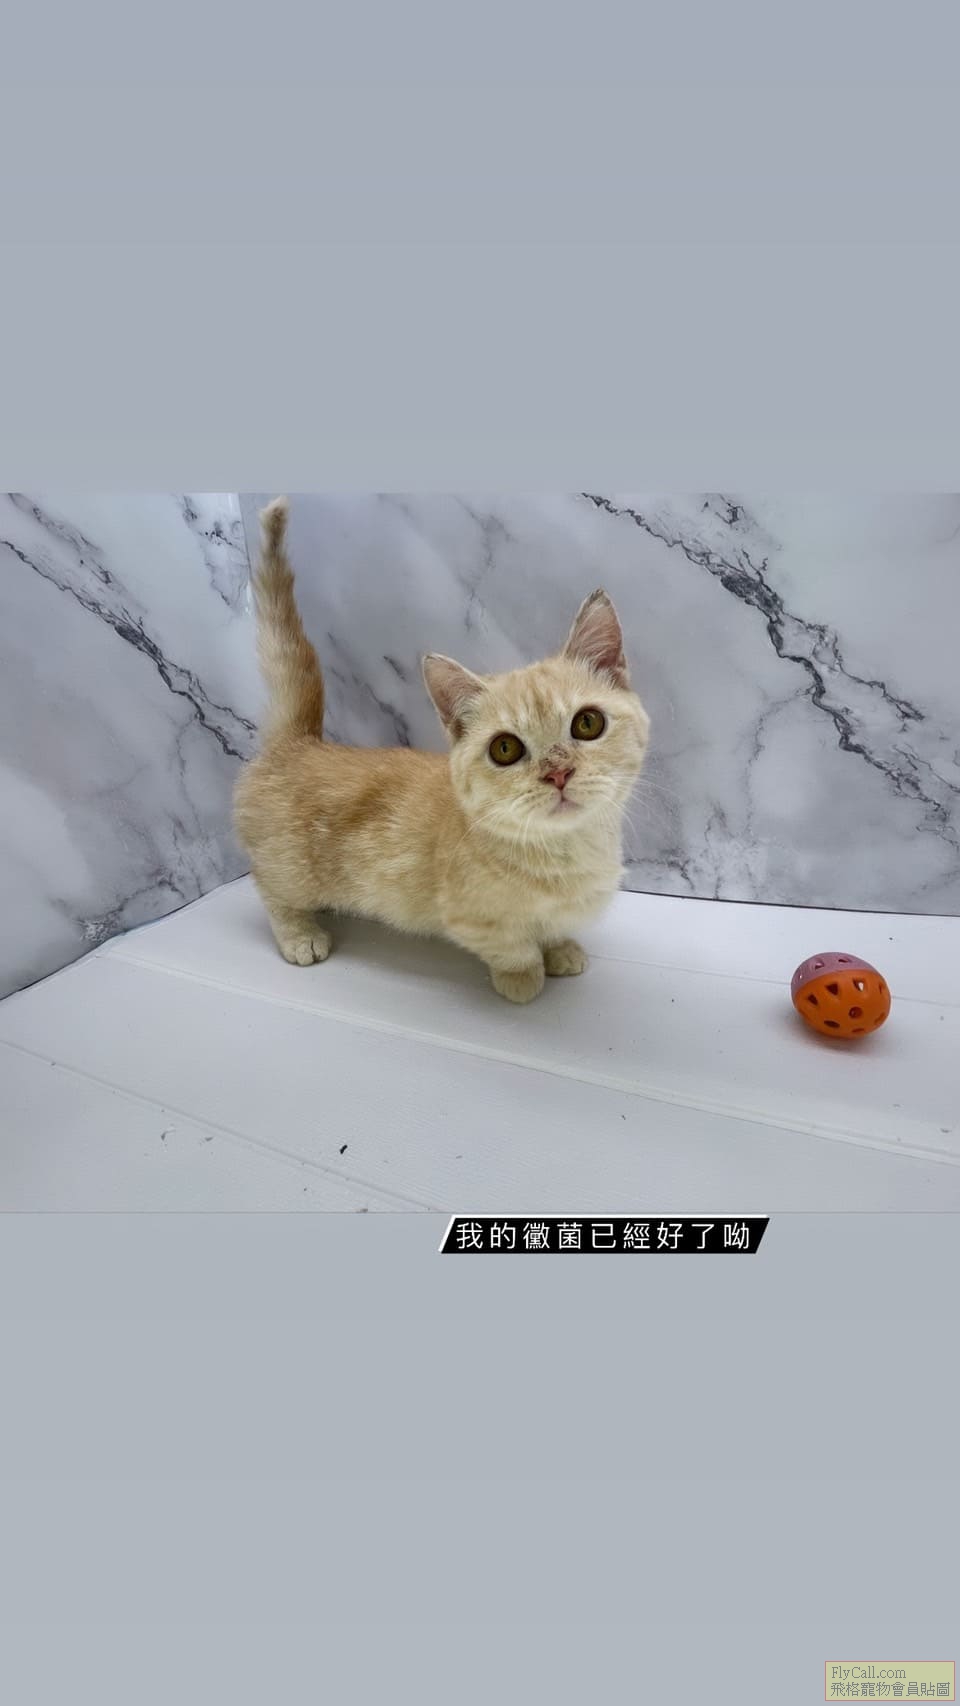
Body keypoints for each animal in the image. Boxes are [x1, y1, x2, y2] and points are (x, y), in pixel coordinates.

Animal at [233, 497, 650, 1002]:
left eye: (587, 723)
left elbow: (549, 929)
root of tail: (298, 740)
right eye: (505, 748)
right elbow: (511, 945)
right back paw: (300, 934)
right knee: (271, 889)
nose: (558, 772)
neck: (565, 851)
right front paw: (523, 977)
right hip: (289, 868)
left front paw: (560, 948)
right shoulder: (470, 918)